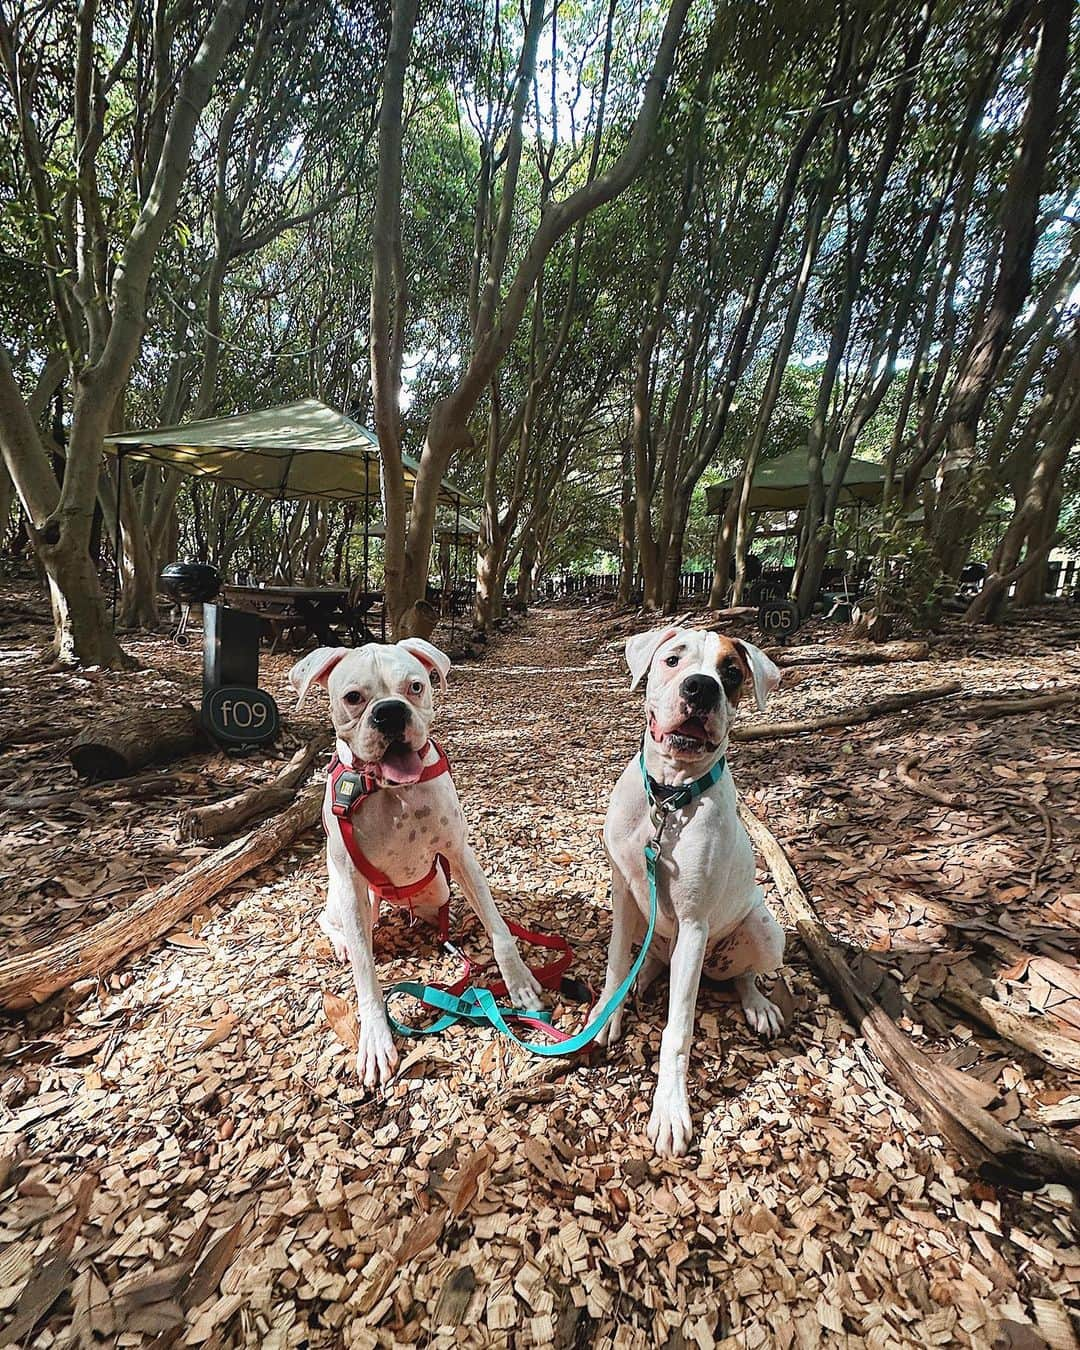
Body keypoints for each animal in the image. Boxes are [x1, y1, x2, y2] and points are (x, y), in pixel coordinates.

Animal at [288, 637, 540, 1090]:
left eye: (416, 687)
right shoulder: (351, 882)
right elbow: (366, 977)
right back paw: (341, 942)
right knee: (330, 921)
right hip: (352, 900)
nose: (390, 712)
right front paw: (375, 1038)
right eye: (353, 698)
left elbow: (499, 932)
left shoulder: (460, 854)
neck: (391, 791)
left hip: (436, 885)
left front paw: (520, 984)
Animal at [599, 626, 783, 1155]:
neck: (669, 798)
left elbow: (677, 1030)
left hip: (763, 930)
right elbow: (615, 960)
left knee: (744, 973)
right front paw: (605, 1013)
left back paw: (758, 1003)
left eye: (732, 673)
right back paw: (640, 979)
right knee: (651, 959)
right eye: (672, 660)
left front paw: (670, 1110)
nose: (701, 688)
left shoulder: (695, 925)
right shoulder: (622, 893)